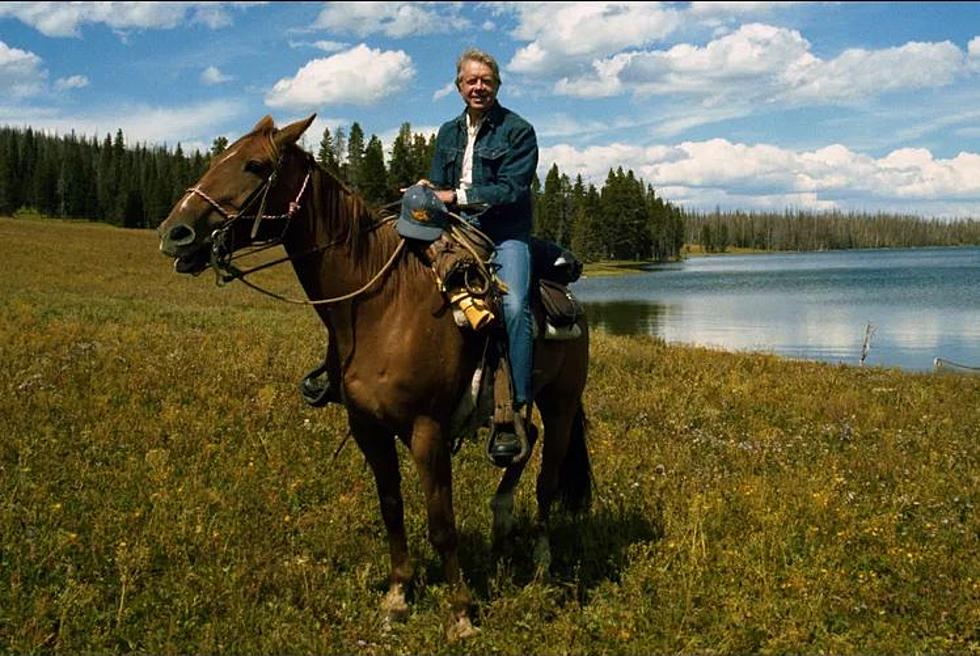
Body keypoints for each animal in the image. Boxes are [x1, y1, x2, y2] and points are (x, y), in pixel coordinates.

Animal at [157, 114, 592, 640]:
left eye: (255, 165)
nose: (175, 232)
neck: (381, 306)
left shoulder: (427, 430)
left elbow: (441, 523)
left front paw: (461, 613)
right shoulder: (368, 428)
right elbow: (392, 509)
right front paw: (398, 595)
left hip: (562, 400)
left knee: (548, 477)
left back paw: (543, 558)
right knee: (522, 440)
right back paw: (502, 516)